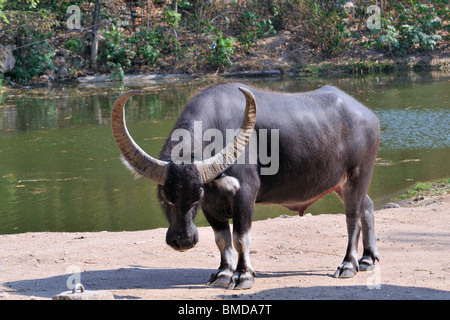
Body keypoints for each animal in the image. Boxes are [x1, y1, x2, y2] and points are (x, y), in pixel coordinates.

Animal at [110, 82, 378, 290]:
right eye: (165, 195)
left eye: (195, 196)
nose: (183, 240)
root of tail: (369, 116)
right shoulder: (212, 204)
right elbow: (222, 239)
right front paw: (223, 273)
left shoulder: (245, 194)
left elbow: (240, 237)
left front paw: (243, 275)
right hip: (341, 184)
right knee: (367, 205)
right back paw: (367, 259)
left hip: (359, 175)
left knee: (352, 217)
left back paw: (349, 264)